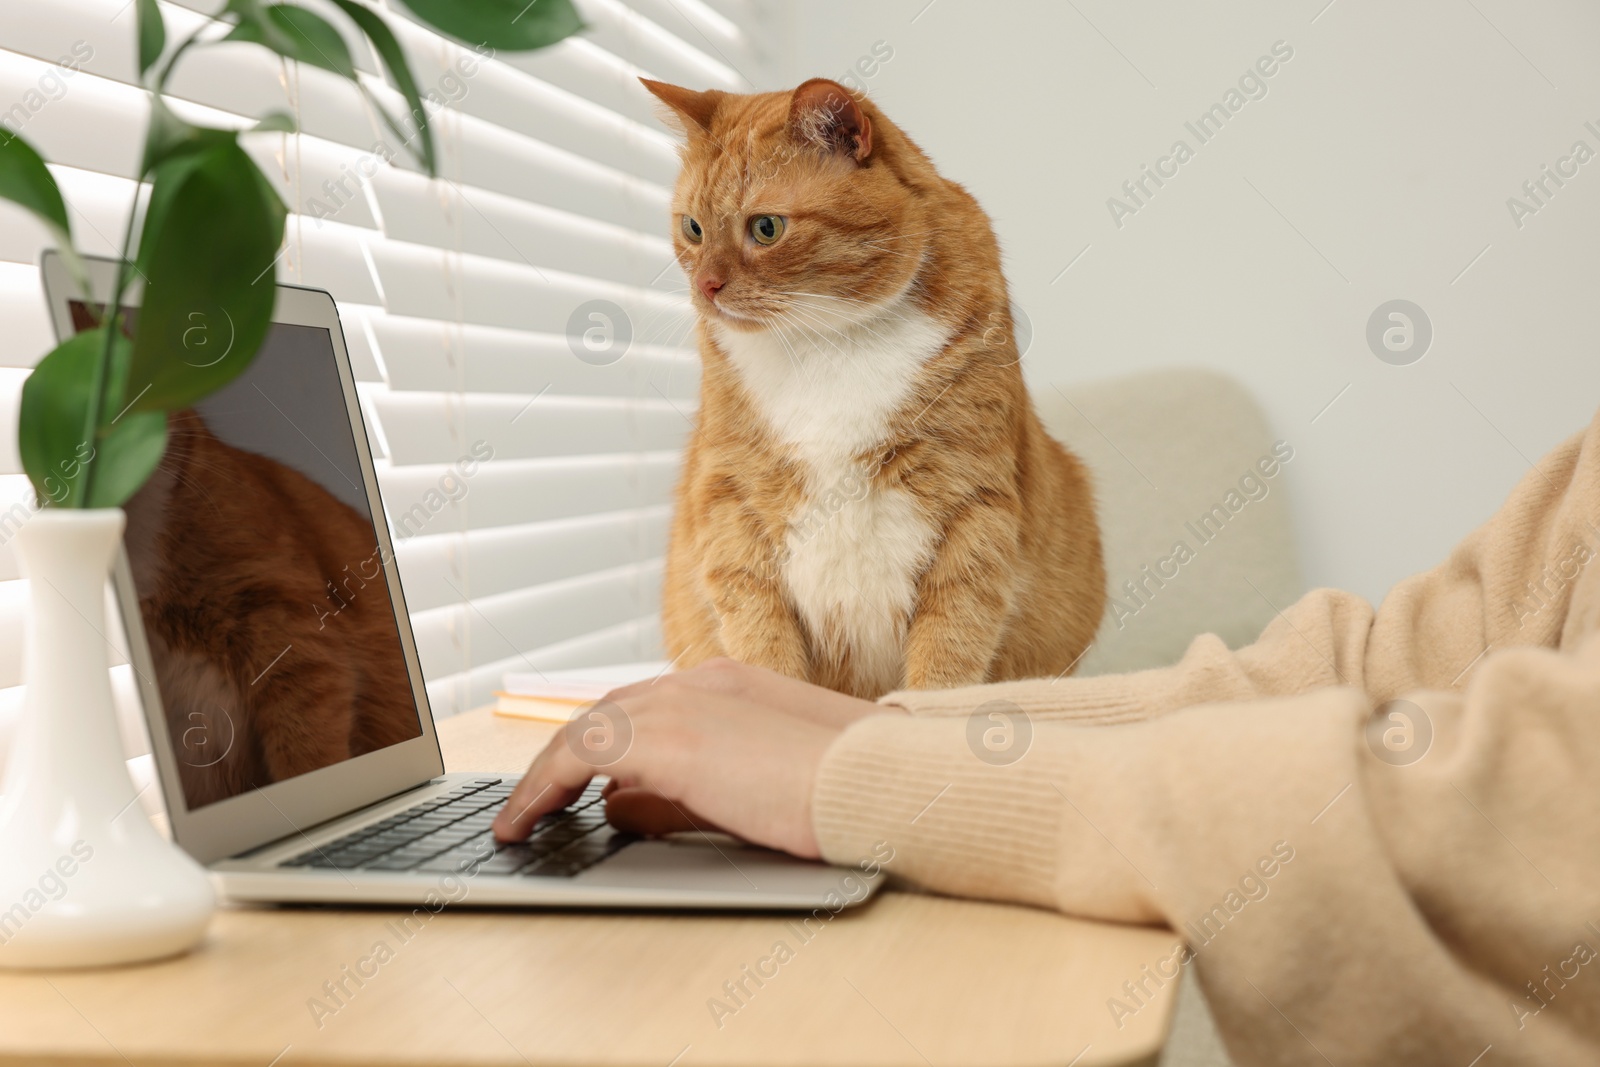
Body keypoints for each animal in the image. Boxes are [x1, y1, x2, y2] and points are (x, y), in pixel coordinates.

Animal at [646, 77, 1100, 700]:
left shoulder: (973, 506)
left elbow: (950, 649)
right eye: (692, 227)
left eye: (766, 228)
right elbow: (762, 644)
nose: (705, 286)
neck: (826, 344)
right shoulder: (729, 502)